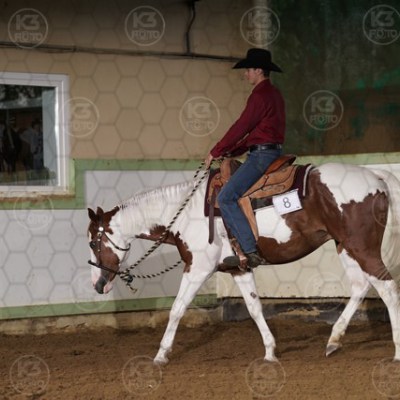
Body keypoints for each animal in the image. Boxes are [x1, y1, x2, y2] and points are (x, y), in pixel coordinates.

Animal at [87, 161, 400, 365]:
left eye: (92, 242)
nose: (97, 284)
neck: (184, 214)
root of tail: (374, 175)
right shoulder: (238, 268)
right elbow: (254, 308)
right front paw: (270, 352)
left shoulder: (198, 268)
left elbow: (177, 309)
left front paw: (161, 354)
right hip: (344, 245)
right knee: (361, 287)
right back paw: (334, 340)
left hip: (362, 247)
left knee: (387, 288)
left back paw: (396, 352)